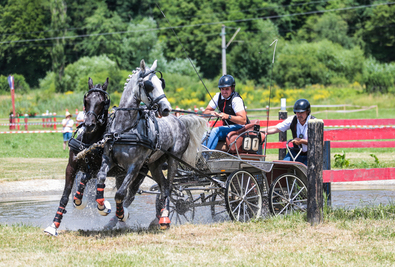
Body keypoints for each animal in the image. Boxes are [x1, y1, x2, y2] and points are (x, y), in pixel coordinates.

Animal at [96, 60, 207, 230]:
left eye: (161, 84)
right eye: (149, 86)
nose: (166, 108)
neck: (125, 129)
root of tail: (179, 120)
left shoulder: (135, 166)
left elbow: (120, 193)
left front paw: (121, 214)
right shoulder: (108, 159)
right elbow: (101, 178)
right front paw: (102, 206)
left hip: (173, 160)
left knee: (169, 187)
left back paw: (165, 218)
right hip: (154, 165)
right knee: (163, 186)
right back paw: (159, 217)